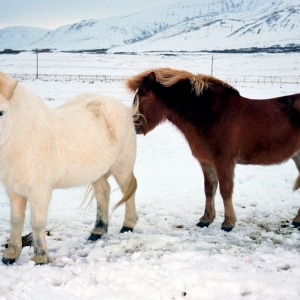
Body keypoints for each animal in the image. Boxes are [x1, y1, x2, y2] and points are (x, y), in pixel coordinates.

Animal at [0, 71, 138, 264]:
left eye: (1, 112)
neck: (23, 137)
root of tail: (124, 109)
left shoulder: (40, 191)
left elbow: (37, 222)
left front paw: (40, 257)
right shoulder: (13, 191)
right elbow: (15, 220)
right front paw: (11, 255)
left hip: (122, 167)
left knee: (128, 192)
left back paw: (128, 226)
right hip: (97, 172)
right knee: (103, 192)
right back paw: (98, 231)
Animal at [127, 67, 300, 232]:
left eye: (143, 96)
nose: (133, 127)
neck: (212, 115)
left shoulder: (223, 162)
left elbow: (225, 190)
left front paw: (228, 223)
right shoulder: (206, 162)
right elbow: (209, 189)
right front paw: (206, 219)